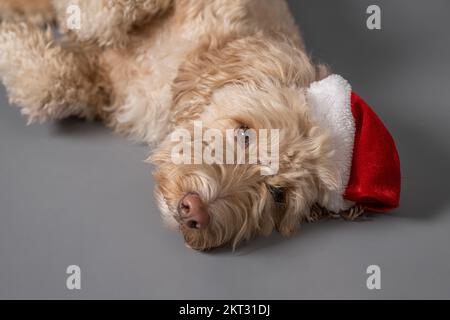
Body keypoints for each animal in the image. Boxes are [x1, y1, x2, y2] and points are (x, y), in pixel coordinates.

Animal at [0, 0, 400, 250]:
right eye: (245, 133)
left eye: (278, 196)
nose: (194, 210)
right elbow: (102, 16)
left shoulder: (102, 89)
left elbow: (50, 82)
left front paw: (11, 40)